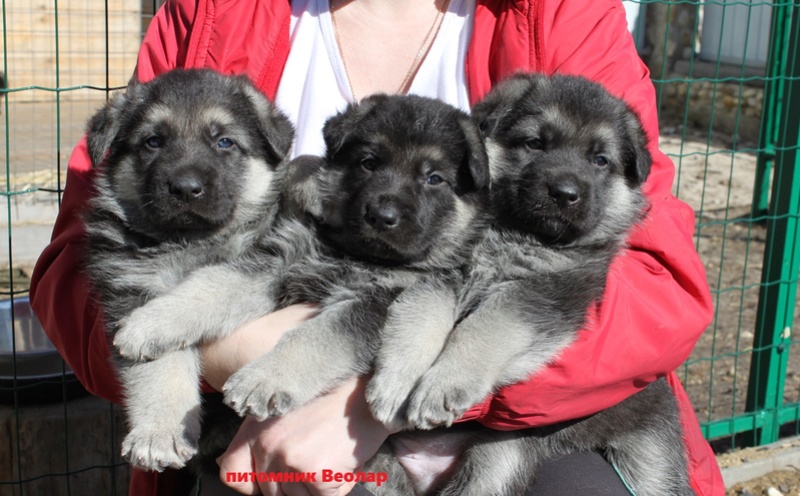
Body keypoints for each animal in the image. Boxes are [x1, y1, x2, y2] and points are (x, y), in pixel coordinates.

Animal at [83, 69, 294, 468]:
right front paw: (159, 433)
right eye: (153, 141)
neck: (188, 241)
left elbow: (210, 286)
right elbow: (158, 367)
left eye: (225, 142)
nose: (185, 188)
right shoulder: (130, 286)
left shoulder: (266, 266)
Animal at [364, 74, 692, 496]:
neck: (513, 235)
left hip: (541, 454)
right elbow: (422, 312)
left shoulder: (548, 294)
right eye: (535, 143)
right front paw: (398, 379)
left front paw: (444, 383)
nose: (565, 194)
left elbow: (489, 326)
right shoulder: (442, 272)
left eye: (600, 160)